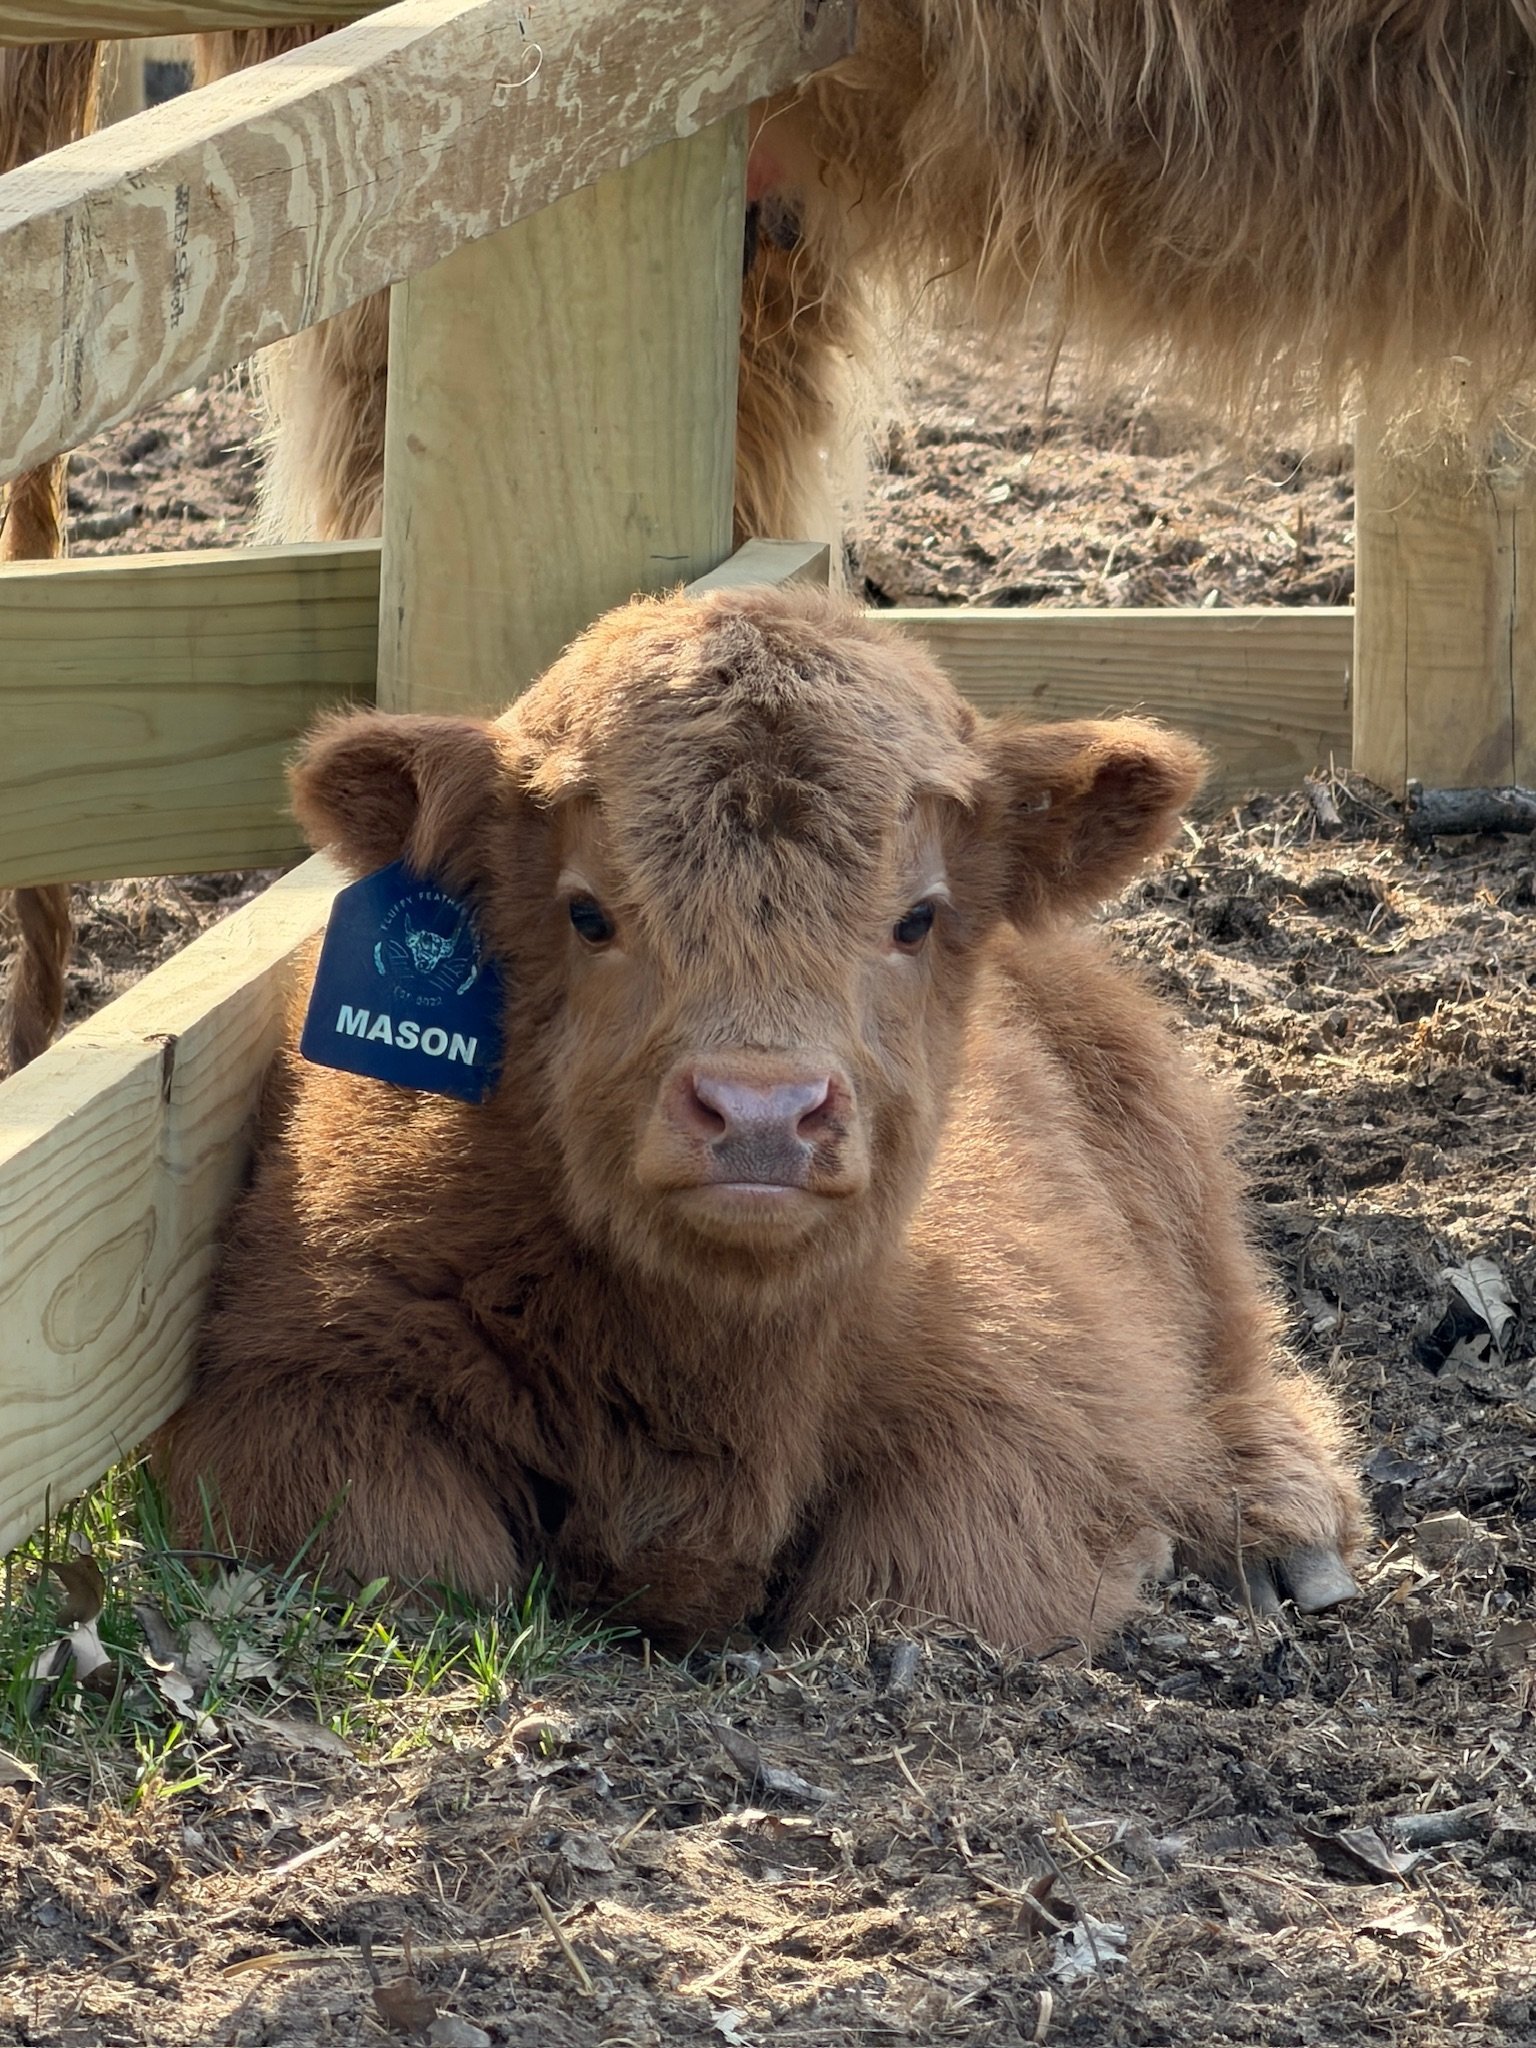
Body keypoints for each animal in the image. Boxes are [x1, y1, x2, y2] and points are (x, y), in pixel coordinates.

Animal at [159, 585, 1364, 1651]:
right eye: (587, 912)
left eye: (916, 917)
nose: (761, 1112)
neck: (721, 1377)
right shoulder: (297, 1381)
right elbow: (410, 1555)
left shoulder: (1044, 1386)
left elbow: (936, 1582)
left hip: (1161, 1142)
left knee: (1232, 1325)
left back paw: (1277, 1510)